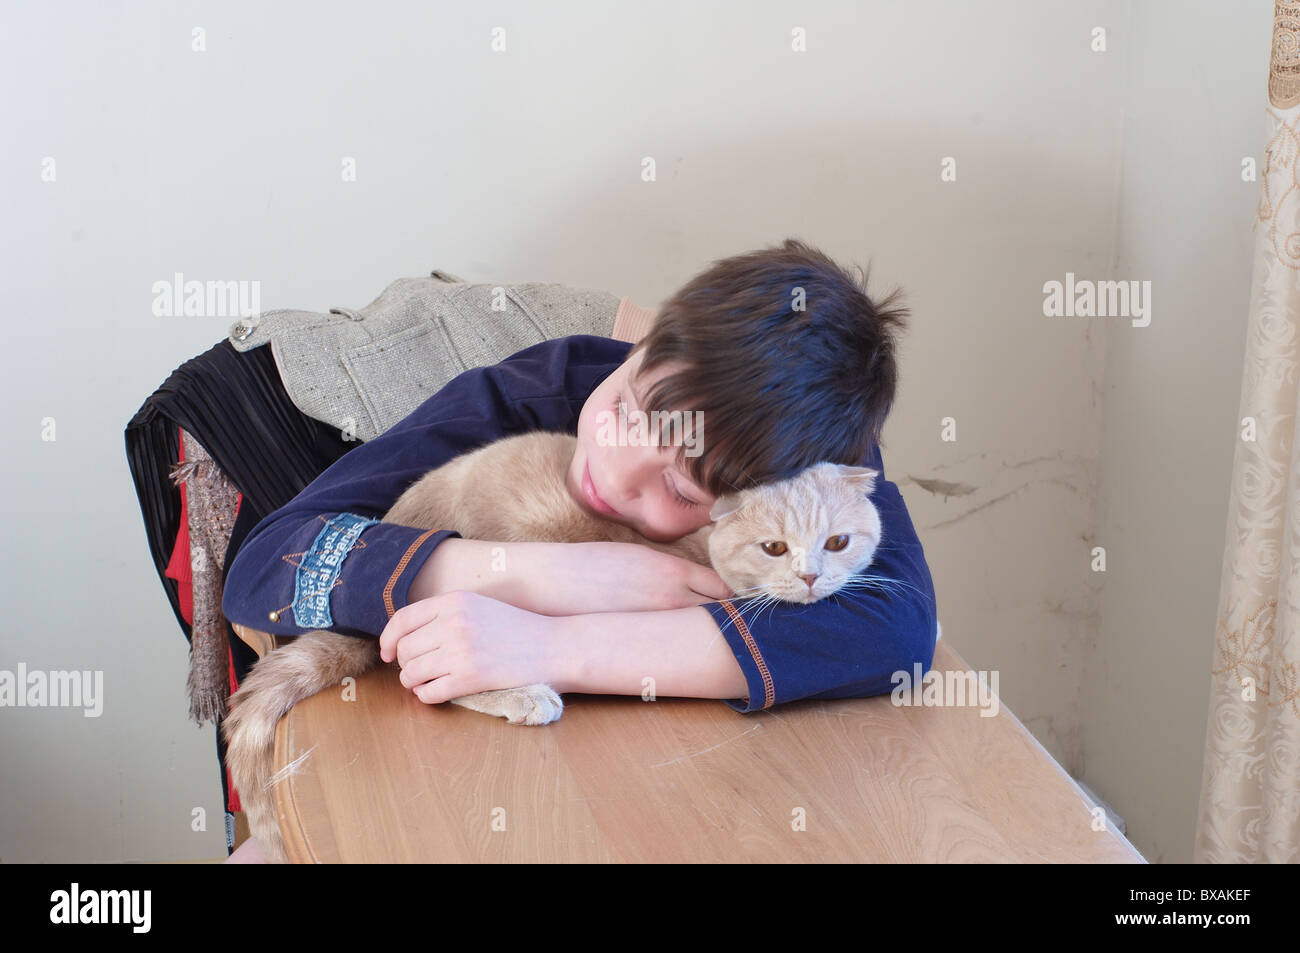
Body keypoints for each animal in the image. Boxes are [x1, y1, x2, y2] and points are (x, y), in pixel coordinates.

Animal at [220, 426, 883, 858]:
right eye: (774, 547)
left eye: (838, 542)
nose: (811, 576)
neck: (694, 540)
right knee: (432, 677)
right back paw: (521, 695)